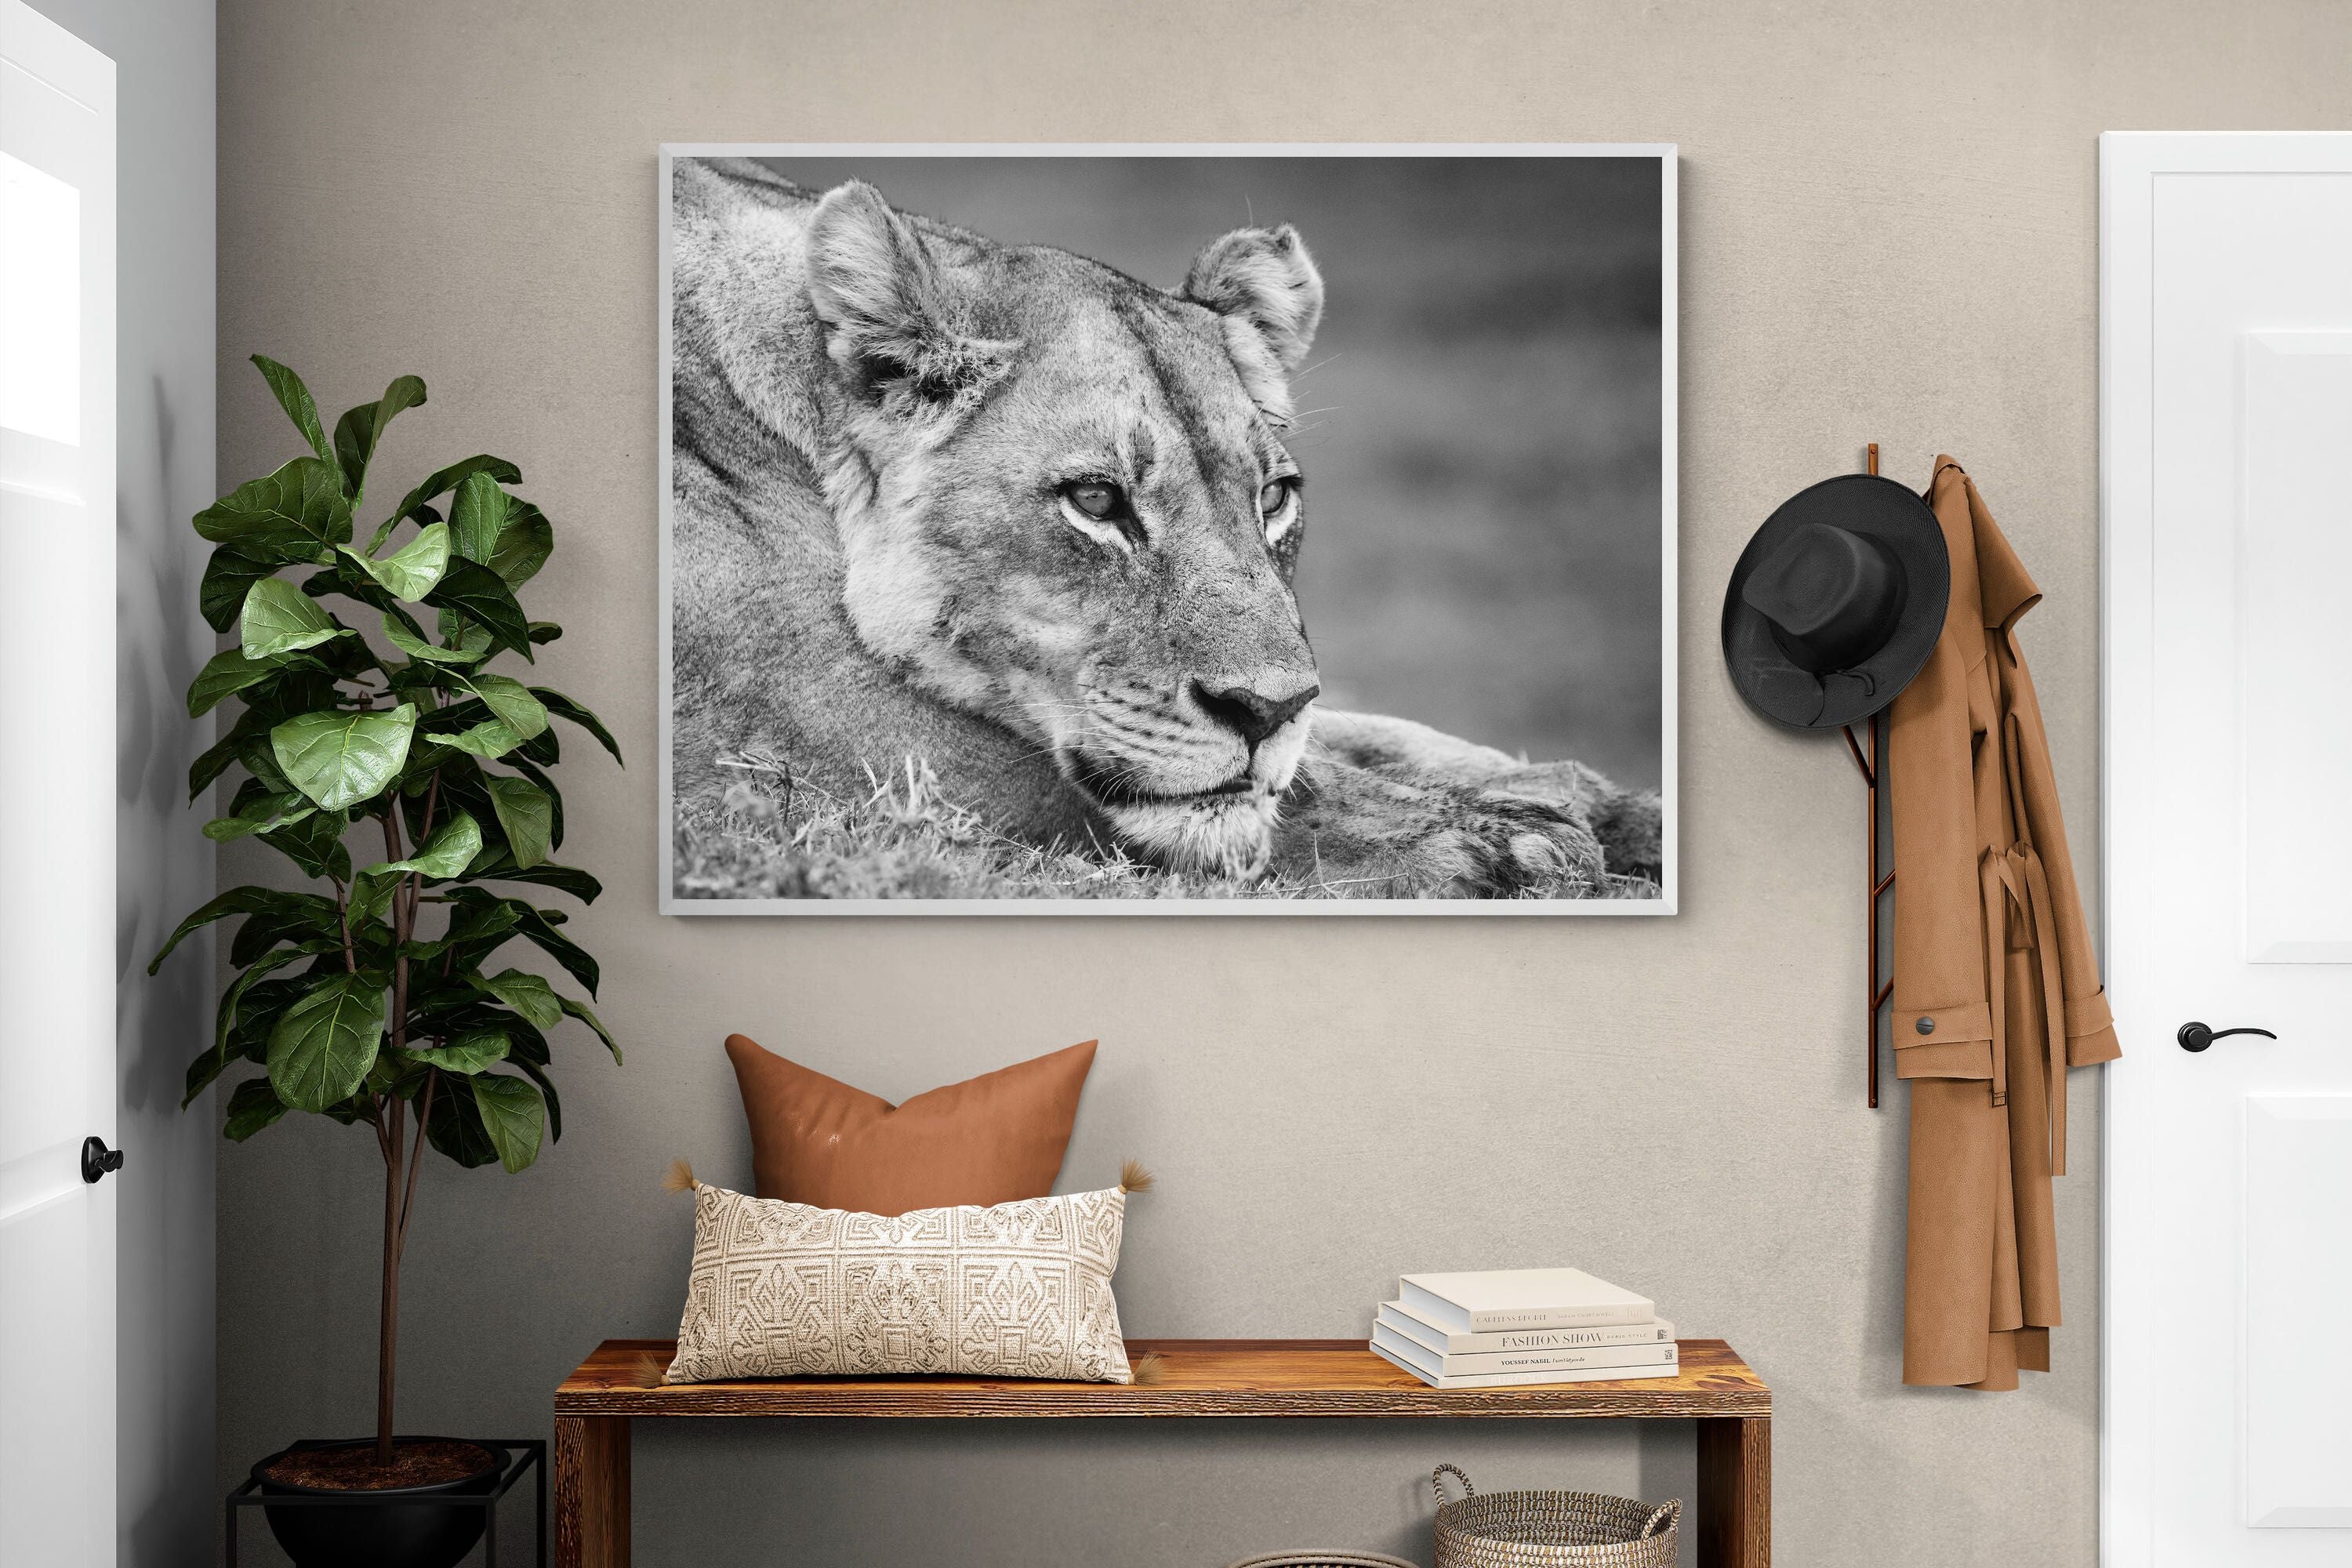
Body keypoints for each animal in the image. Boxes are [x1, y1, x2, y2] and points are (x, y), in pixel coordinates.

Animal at [668, 157, 1660, 898]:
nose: (1264, 712)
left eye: (1274, 498)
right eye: (1097, 500)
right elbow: (1268, 793)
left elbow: (1363, 734)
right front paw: (1502, 841)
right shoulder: (815, 727)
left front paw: (1607, 807)